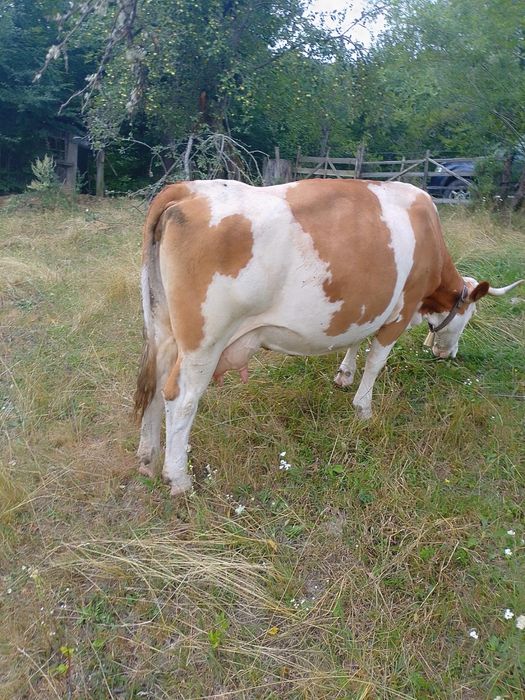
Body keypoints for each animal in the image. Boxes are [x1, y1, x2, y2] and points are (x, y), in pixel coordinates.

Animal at [134, 179, 522, 495]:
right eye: (470, 316)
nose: (448, 355)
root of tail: (188, 189)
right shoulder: (401, 309)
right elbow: (376, 361)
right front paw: (363, 408)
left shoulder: (365, 305)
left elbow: (355, 339)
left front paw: (344, 375)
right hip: (203, 342)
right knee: (181, 398)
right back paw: (178, 477)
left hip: (162, 328)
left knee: (154, 385)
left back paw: (148, 457)